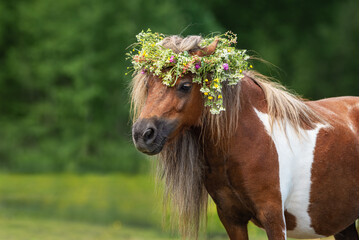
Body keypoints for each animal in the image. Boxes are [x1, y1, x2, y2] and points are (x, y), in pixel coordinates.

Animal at [130, 34, 359, 239]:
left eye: (185, 86)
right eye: (148, 86)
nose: (143, 134)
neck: (249, 140)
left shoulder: (274, 218)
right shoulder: (232, 219)